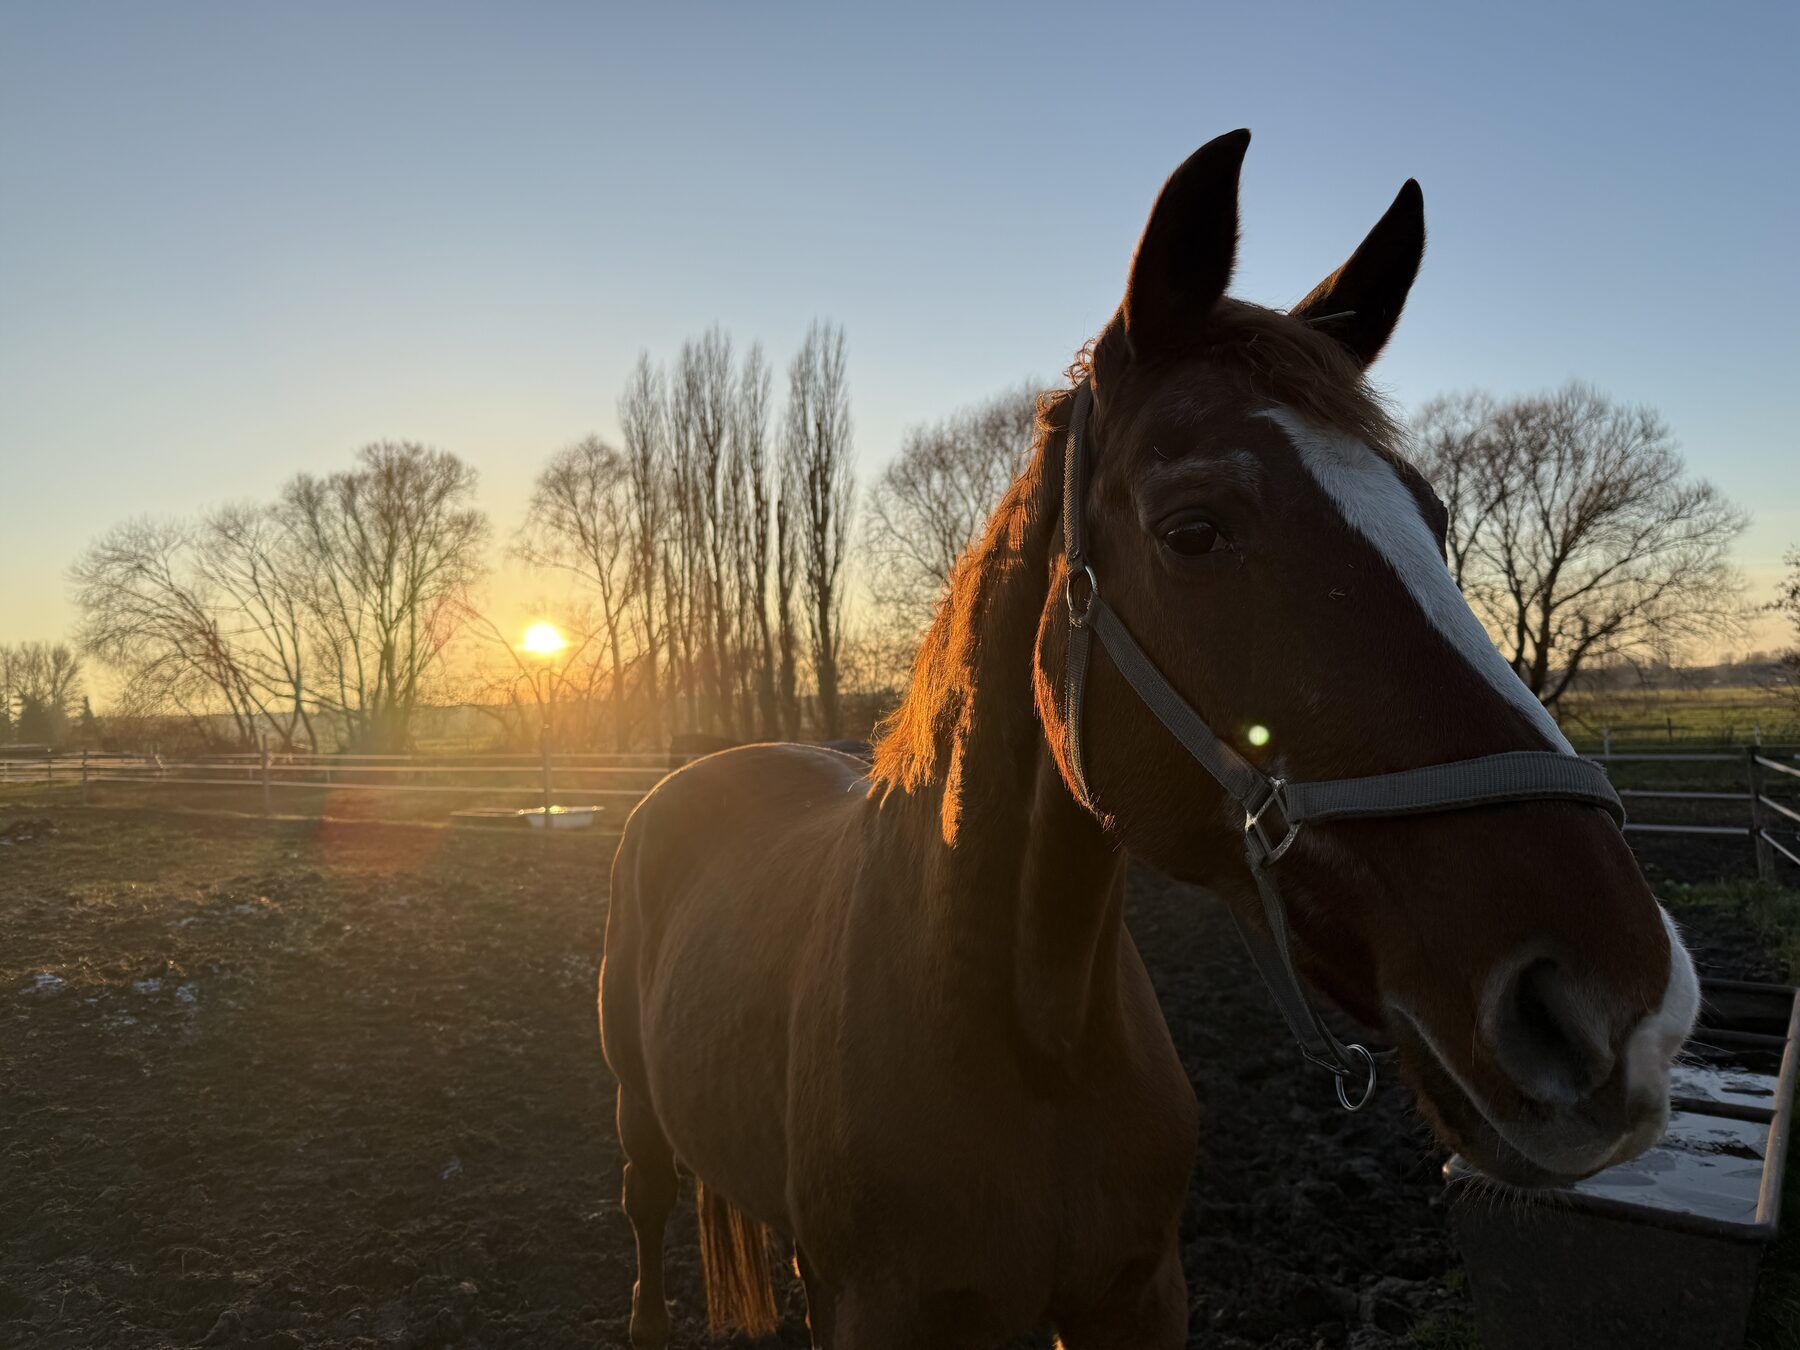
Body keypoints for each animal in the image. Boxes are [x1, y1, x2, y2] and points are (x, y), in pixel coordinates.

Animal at [599, 129, 1698, 1349]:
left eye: (1434, 515)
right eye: (1194, 530)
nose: (1622, 1010)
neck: (1031, 1035)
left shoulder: (1138, 1294)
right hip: (638, 1120)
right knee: (645, 1218)